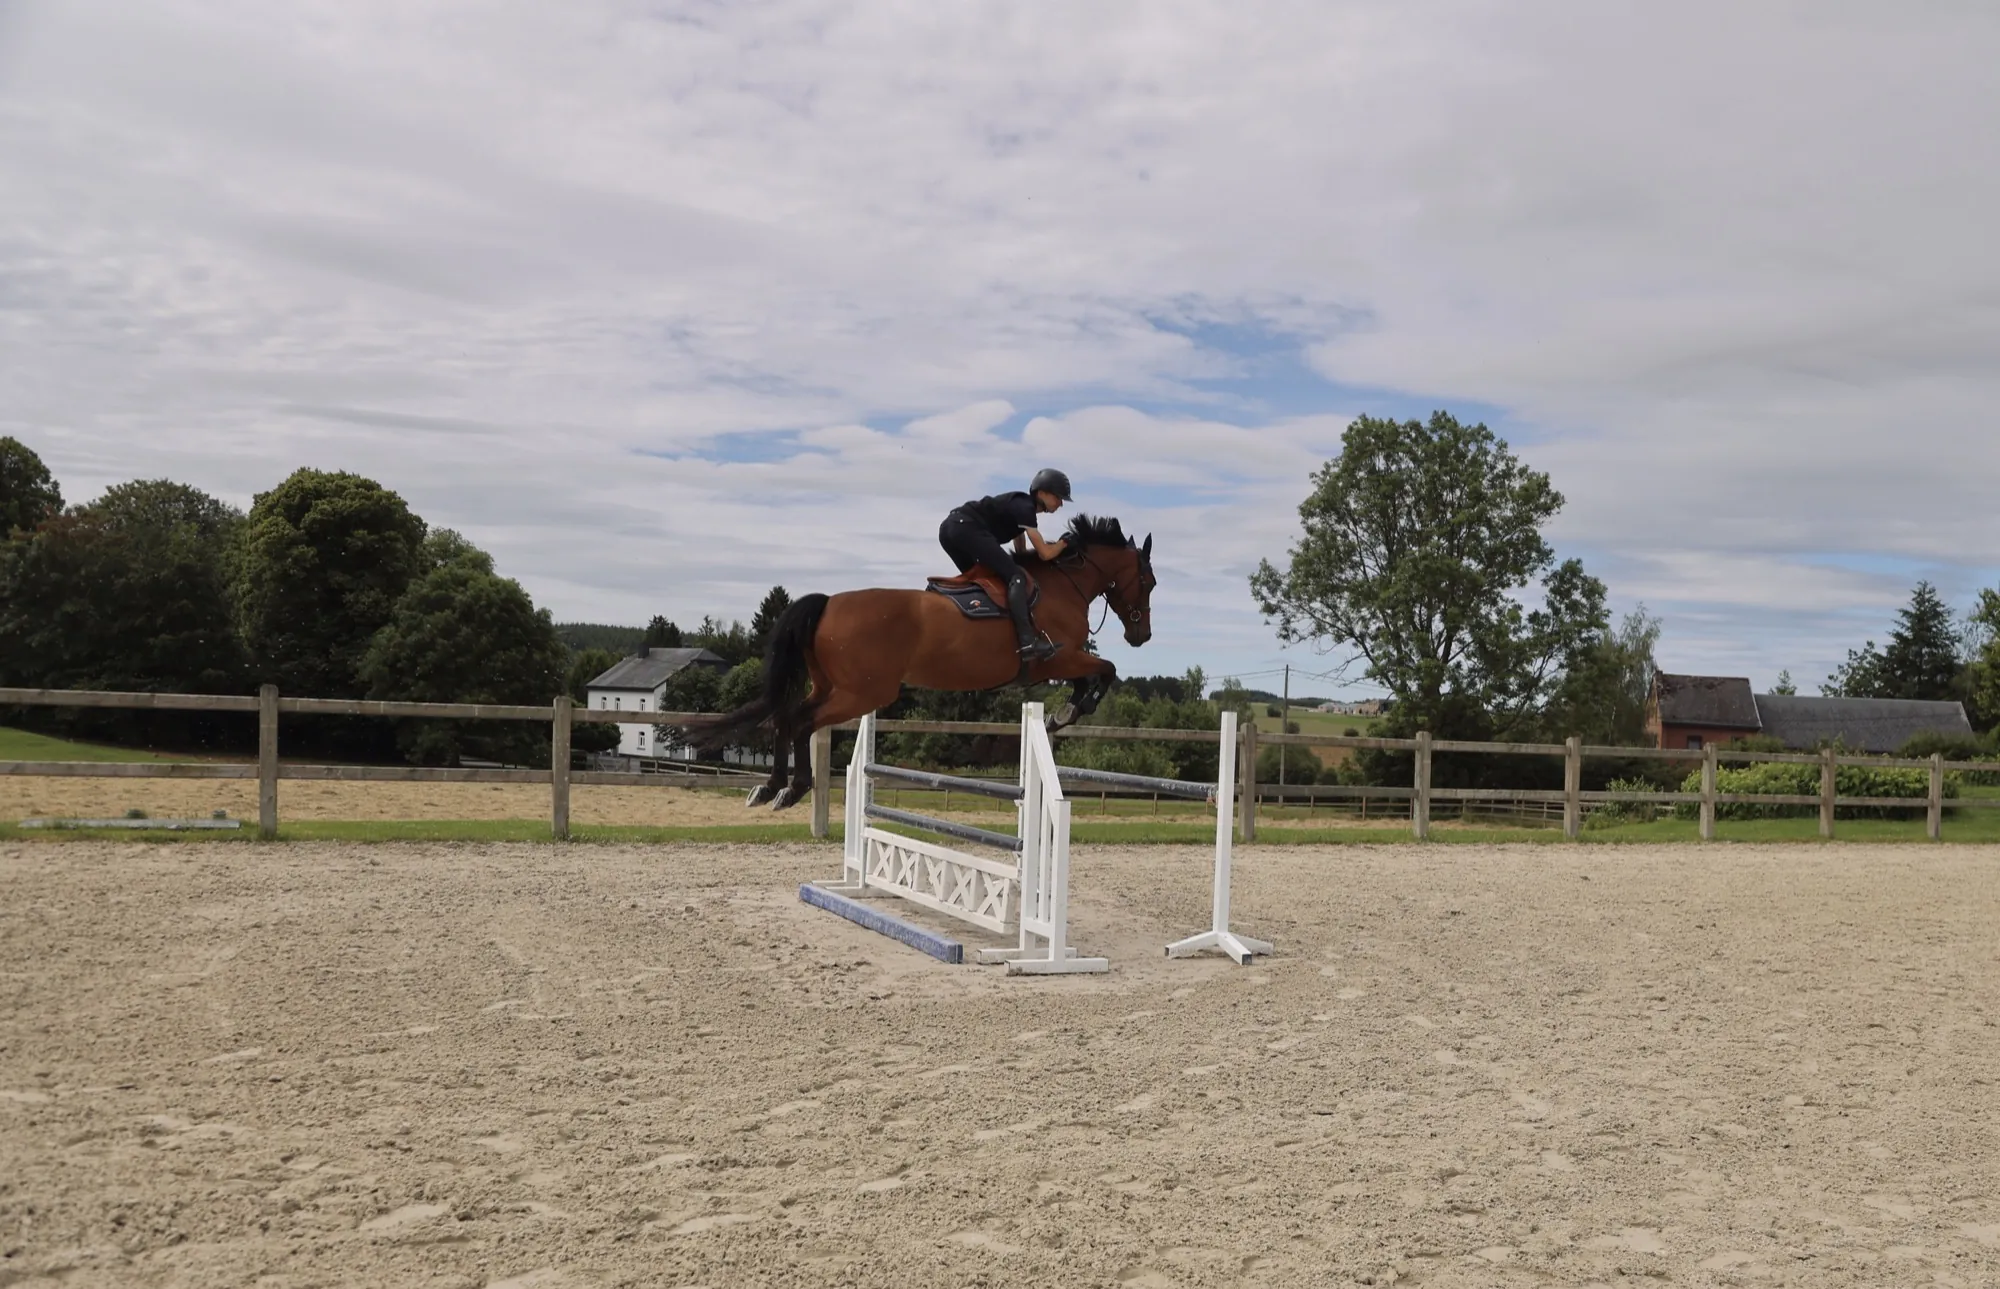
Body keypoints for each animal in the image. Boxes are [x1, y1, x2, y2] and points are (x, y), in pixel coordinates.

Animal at [694, 514, 1156, 810]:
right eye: (1148, 581)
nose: (1142, 636)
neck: (1063, 585)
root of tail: (827, 604)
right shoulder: (1057, 660)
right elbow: (1105, 671)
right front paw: (1069, 712)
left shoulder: (1064, 663)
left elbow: (1098, 673)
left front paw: (1064, 713)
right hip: (862, 693)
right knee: (801, 721)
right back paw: (793, 789)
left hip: (830, 686)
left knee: (785, 717)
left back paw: (771, 787)